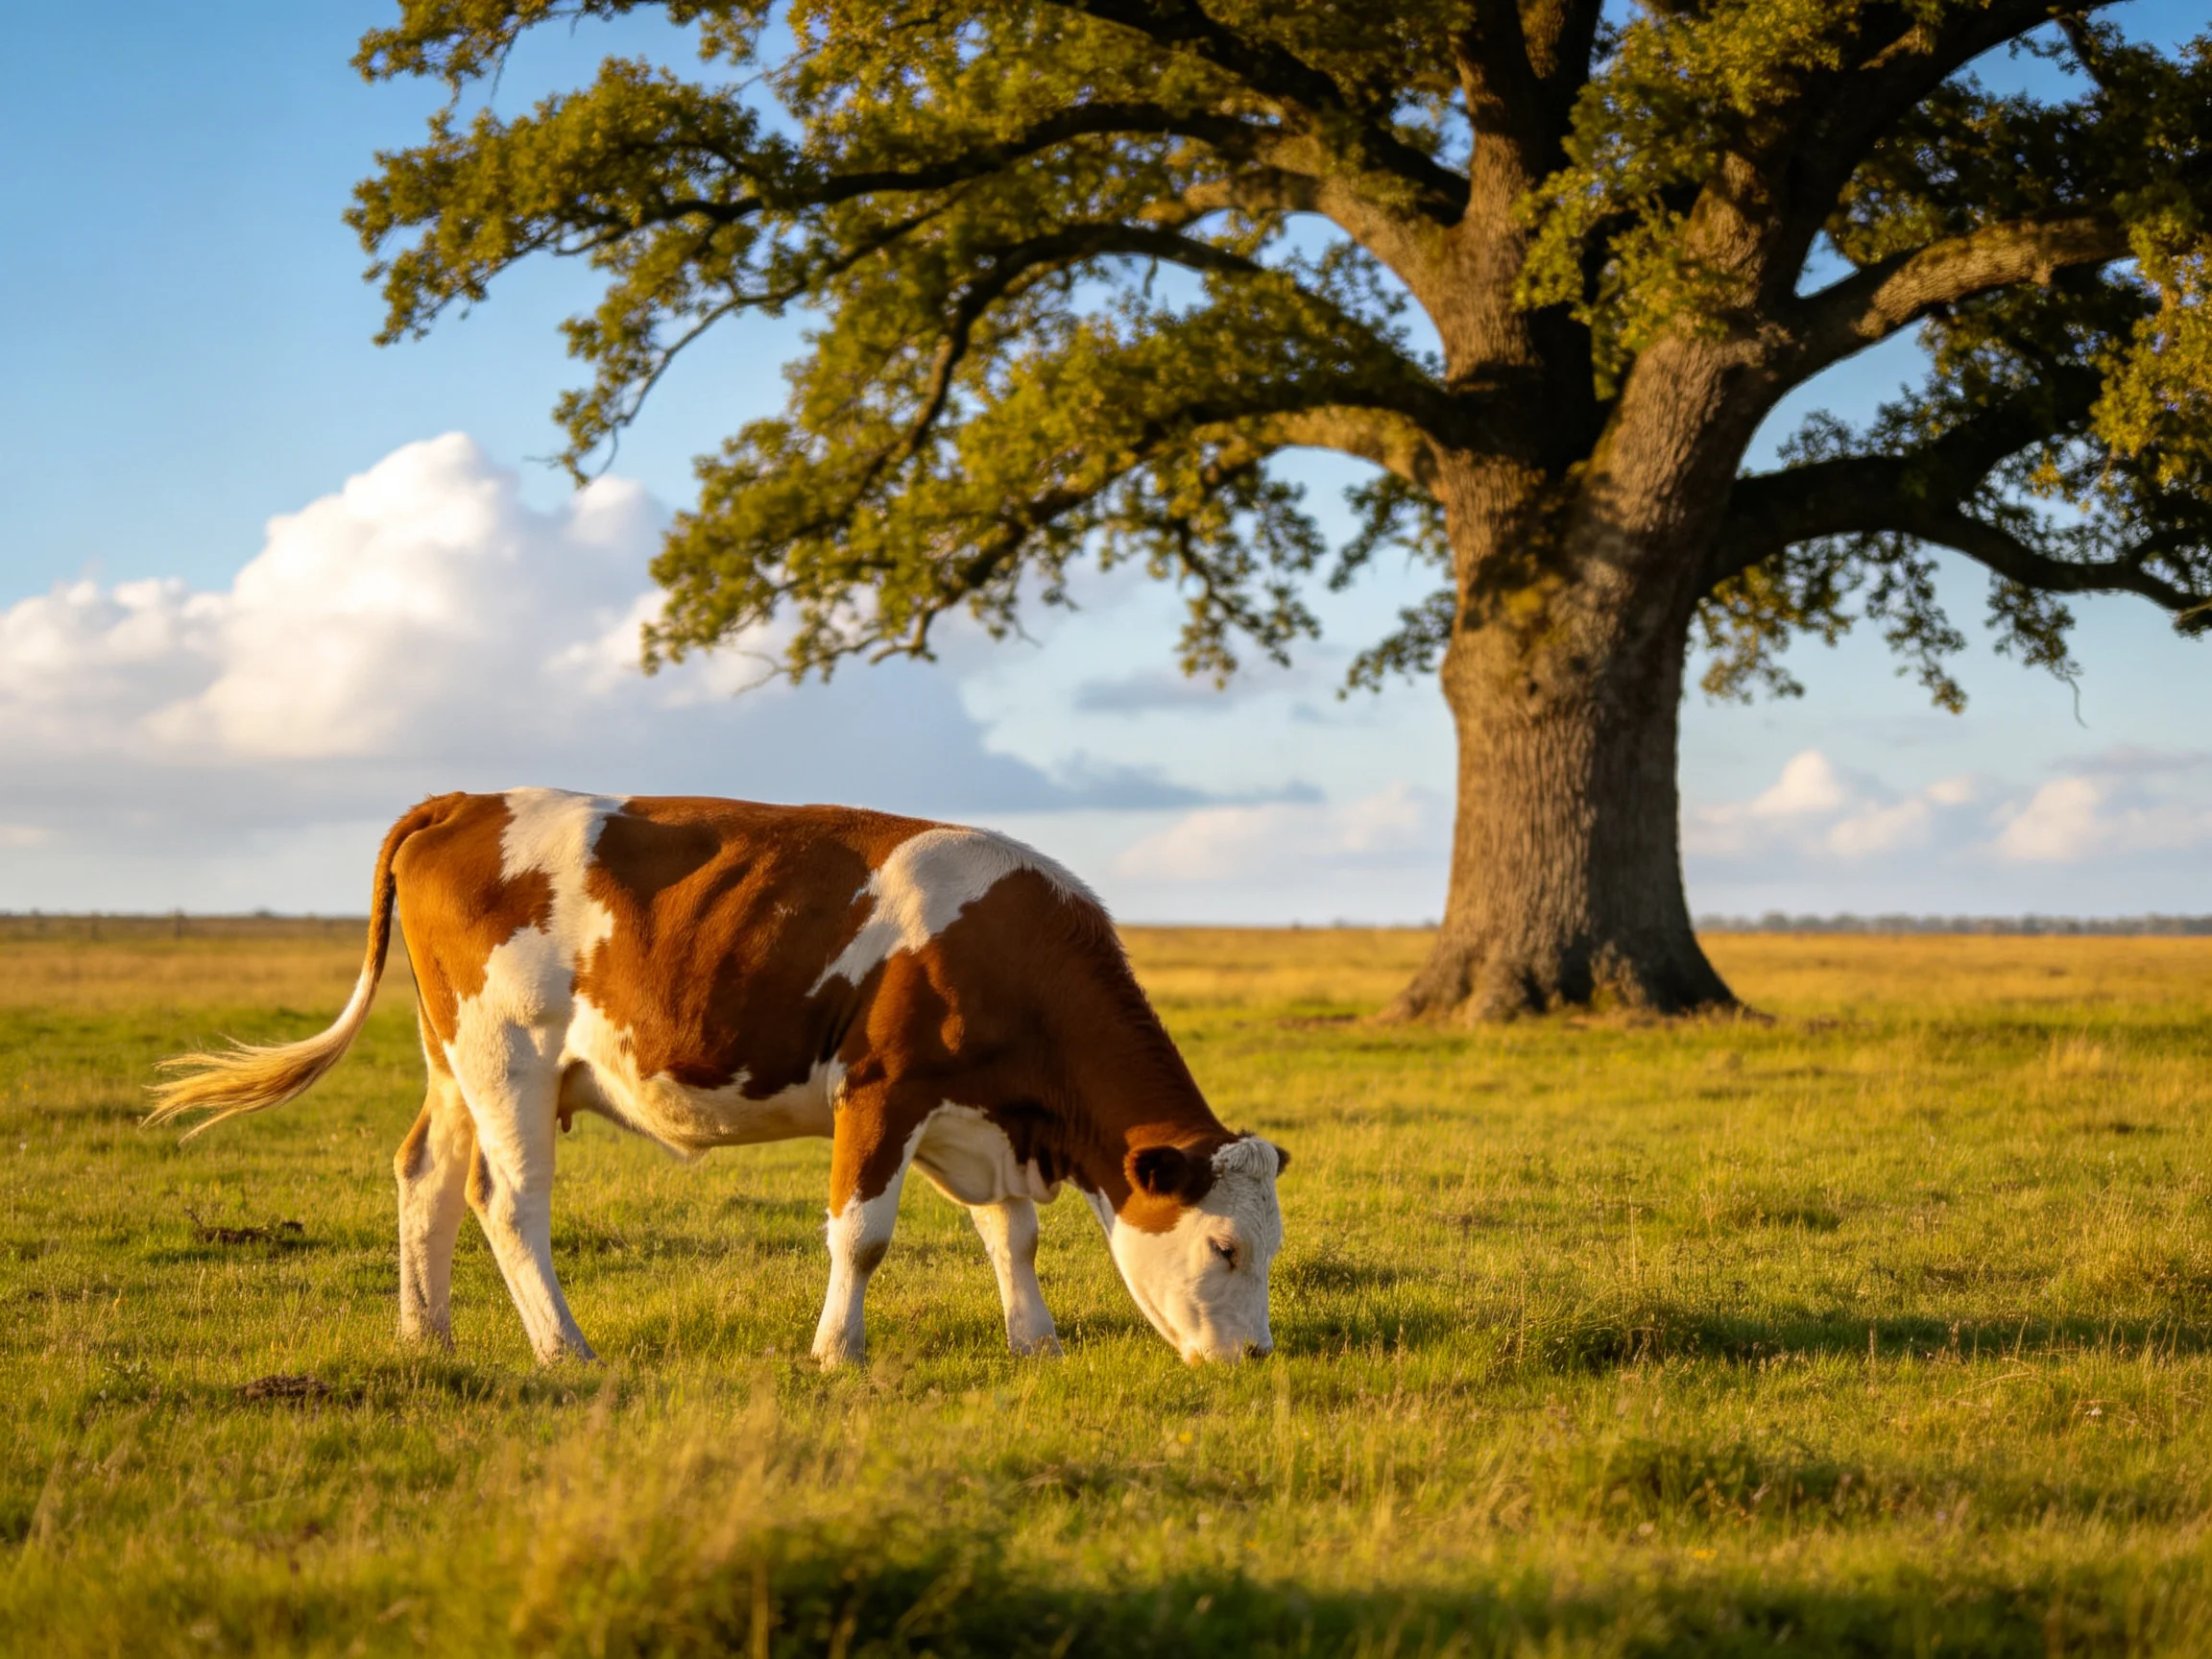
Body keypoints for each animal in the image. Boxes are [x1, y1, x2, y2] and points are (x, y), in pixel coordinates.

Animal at [150, 790, 1287, 1366]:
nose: (1258, 1356)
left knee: (424, 1175)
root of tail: (467, 800)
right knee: (505, 1201)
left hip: (451, 1059)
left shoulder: (978, 1117)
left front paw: (1034, 1342)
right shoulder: (882, 1090)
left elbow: (1011, 1233)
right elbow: (861, 1236)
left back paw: (425, 1337)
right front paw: (836, 1352)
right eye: (1225, 1248)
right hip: (506, 1053)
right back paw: (563, 1349)